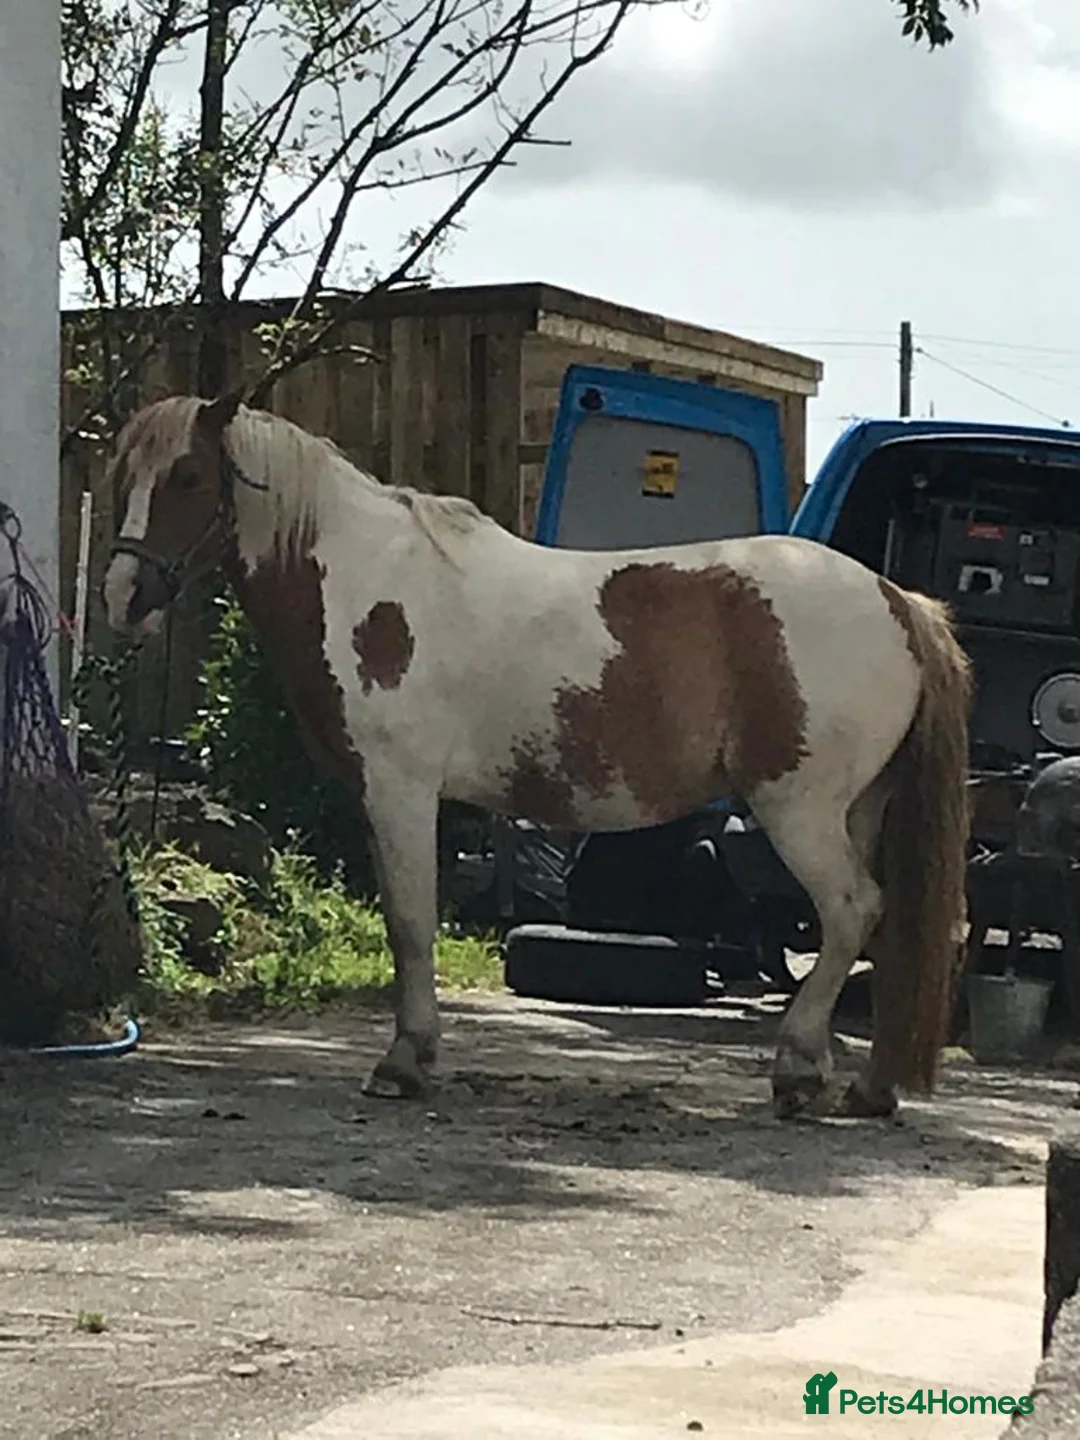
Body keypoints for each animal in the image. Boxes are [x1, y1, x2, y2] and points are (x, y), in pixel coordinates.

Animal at [101, 391, 973, 1118]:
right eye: (123, 474)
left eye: (188, 476)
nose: (123, 598)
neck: (368, 586)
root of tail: (896, 601)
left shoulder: (401, 791)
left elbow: (410, 924)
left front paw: (404, 1063)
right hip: (853, 811)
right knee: (867, 926)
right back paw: (851, 1081)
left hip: (799, 810)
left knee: (851, 911)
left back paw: (797, 1070)